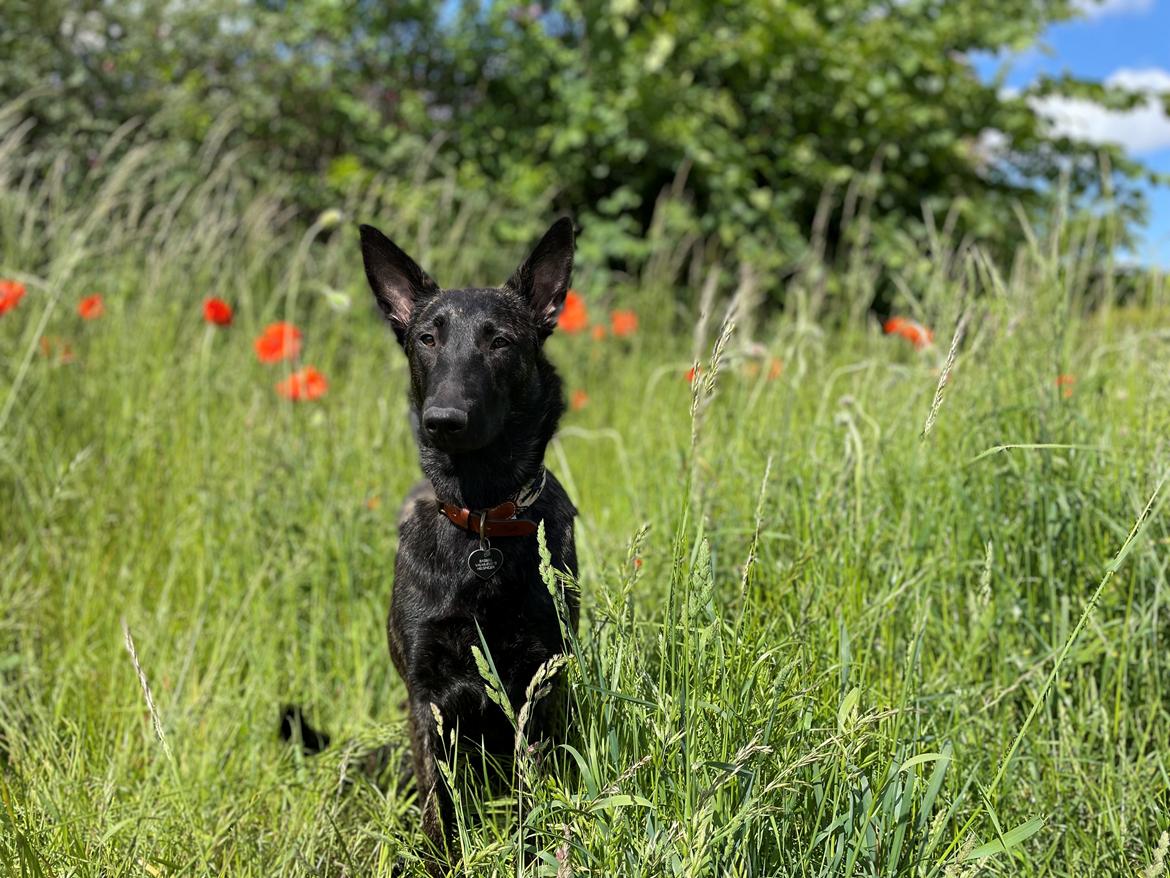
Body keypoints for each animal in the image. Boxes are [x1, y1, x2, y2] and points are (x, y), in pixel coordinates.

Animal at [353, 218, 577, 866]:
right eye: (427, 339)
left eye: (499, 342)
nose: (443, 420)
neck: (481, 522)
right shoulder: (426, 699)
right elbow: (440, 809)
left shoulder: (535, 689)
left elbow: (532, 797)